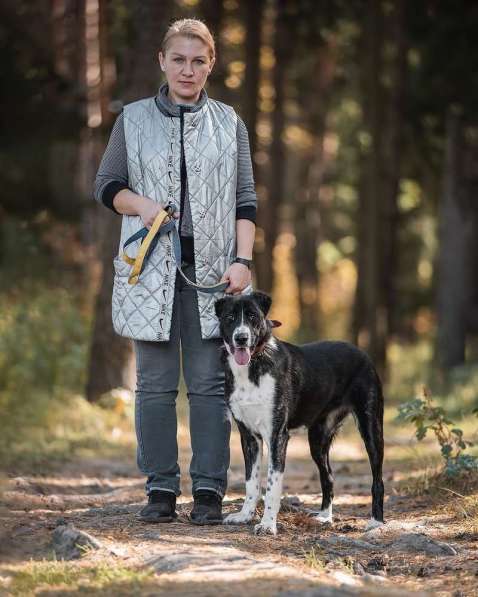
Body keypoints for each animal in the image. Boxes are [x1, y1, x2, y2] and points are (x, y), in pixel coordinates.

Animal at [213, 290, 384, 536]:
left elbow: (272, 485)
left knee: (377, 479)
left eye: (253, 316)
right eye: (230, 318)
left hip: (371, 427)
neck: (254, 365)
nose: (241, 338)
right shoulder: (249, 437)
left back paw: (376, 522)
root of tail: (362, 352)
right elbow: (251, 482)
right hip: (318, 439)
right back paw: (324, 517)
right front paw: (245, 515)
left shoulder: (277, 435)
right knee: (328, 476)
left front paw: (267, 524)